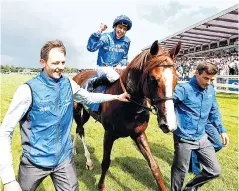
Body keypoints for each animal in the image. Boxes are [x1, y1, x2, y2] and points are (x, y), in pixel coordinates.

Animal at [72, 40, 180, 190]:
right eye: (153, 79)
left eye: (177, 79)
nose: (169, 124)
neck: (128, 105)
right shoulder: (109, 134)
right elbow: (105, 162)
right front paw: (101, 185)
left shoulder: (139, 134)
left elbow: (154, 166)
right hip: (76, 109)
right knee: (80, 129)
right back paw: (87, 160)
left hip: (87, 113)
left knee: (79, 128)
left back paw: (75, 151)